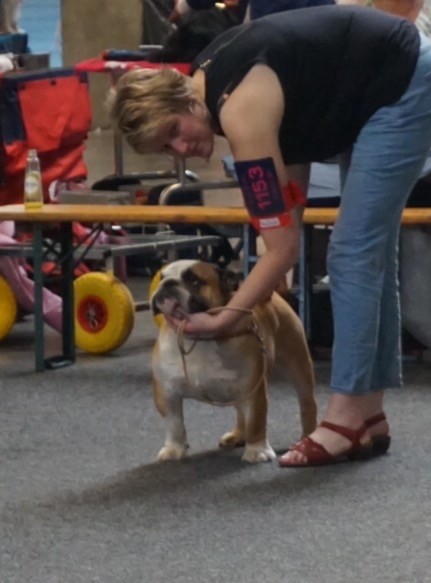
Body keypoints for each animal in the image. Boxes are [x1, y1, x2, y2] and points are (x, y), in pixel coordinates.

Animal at [150, 260, 317, 463]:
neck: (199, 339)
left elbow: (256, 421)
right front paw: (174, 449)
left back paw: (308, 438)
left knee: (307, 403)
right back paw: (238, 436)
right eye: (161, 277)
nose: (167, 284)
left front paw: (257, 450)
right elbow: (174, 424)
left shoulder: (254, 391)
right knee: (240, 412)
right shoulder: (167, 393)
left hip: (297, 364)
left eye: (193, 280)